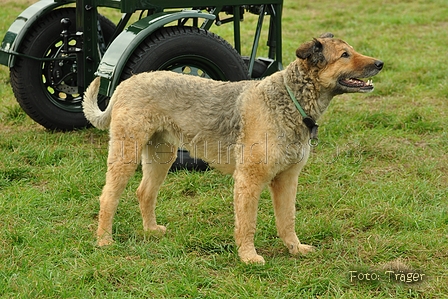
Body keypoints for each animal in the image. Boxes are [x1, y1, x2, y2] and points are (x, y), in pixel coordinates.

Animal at [85, 32, 384, 264]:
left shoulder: (287, 179)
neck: (289, 101)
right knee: (108, 197)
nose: (380, 63)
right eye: (344, 55)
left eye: (352, 50)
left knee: (144, 192)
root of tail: (125, 83)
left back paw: (151, 230)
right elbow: (247, 223)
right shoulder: (249, 180)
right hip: (126, 154)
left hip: (161, 156)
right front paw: (248, 257)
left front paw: (295, 249)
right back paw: (104, 241)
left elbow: (287, 219)